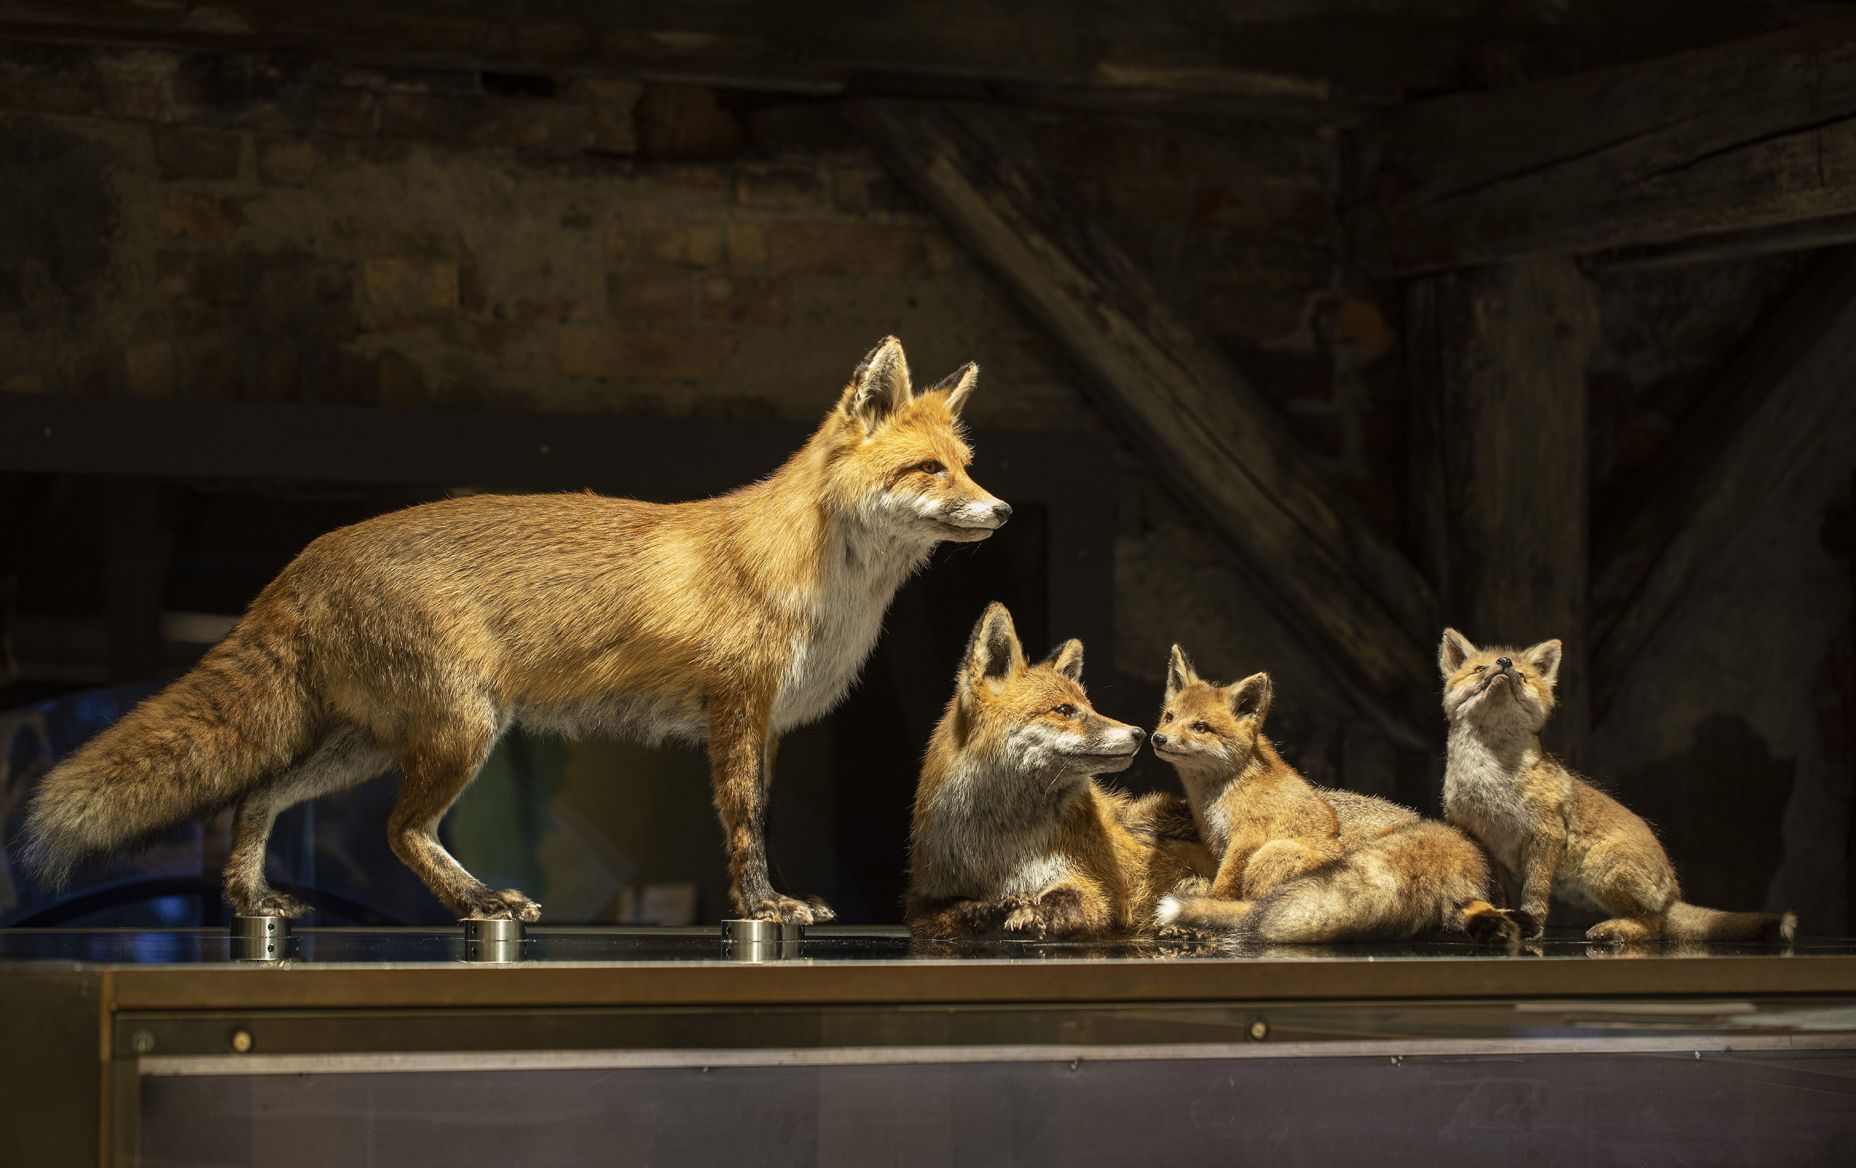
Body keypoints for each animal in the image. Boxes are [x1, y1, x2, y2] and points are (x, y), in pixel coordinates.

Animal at [21, 337, 1009, 925]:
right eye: (929, 470)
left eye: (967, 465)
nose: (1000, 510)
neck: (817, 580)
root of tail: (303, 560)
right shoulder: (734, 705)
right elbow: (745, 820)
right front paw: (763, 910)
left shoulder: (762, 723)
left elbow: (752, 818)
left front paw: (761, 902)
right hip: (462, 731)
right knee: (397, 832)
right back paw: (479, 903)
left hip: (372, 741)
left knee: (258, 797)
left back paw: (254, 901)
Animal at [905, 604, 1210, 939]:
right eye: (1064, 710)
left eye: (1090, 707)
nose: (1141, 734)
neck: (1002, 849)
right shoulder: (922, 904)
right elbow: (961, 909)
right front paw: (995, 908)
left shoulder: (1092, 887)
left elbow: (1063, 899)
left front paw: (1032, 911)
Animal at [1151, 646, 1520, 944]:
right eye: (1169, 717)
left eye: (1200, 727)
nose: (1157, 738)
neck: (1227, 791)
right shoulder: (1221, 842)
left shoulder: (1246, 839)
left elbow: (1223, 889)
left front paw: (1201, 916)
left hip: (1273, 854)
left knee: (1254, 908)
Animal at [1439, 628, 1797, 943]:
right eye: (1479, 669)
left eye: (1524, 676)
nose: (1504, 663)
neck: (1490, 776)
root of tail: (1672, 894)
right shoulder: (1480, 837)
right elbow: (1498, 893)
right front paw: (1499, 919)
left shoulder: (1547, 831)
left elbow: (1535, 892)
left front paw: (1533, 928)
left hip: (1602, 869)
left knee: (1655, 927)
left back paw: (1616, 931)